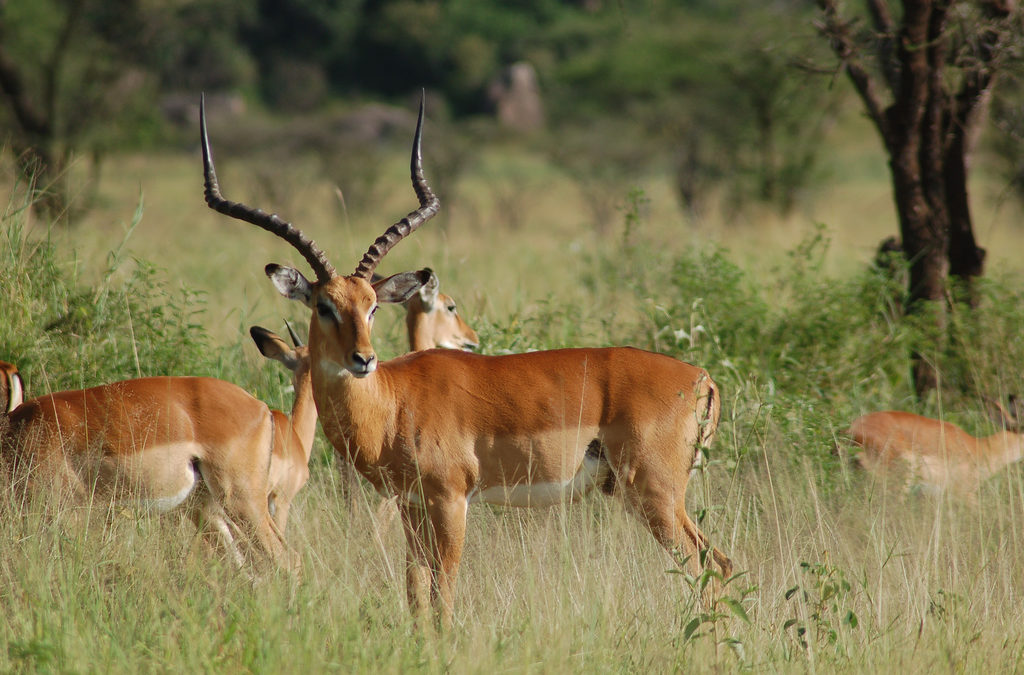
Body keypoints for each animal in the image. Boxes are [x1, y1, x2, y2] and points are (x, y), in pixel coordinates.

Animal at [201, 94, 730, 626]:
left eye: (373, 305)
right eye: (324, 306)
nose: (363, 359)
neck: (393, 404)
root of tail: (701, 379)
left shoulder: (451, 501)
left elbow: (444, 593)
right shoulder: (412, 506)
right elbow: (415, 591)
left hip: (654, 492)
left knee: (709, 565)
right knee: (719, 562)